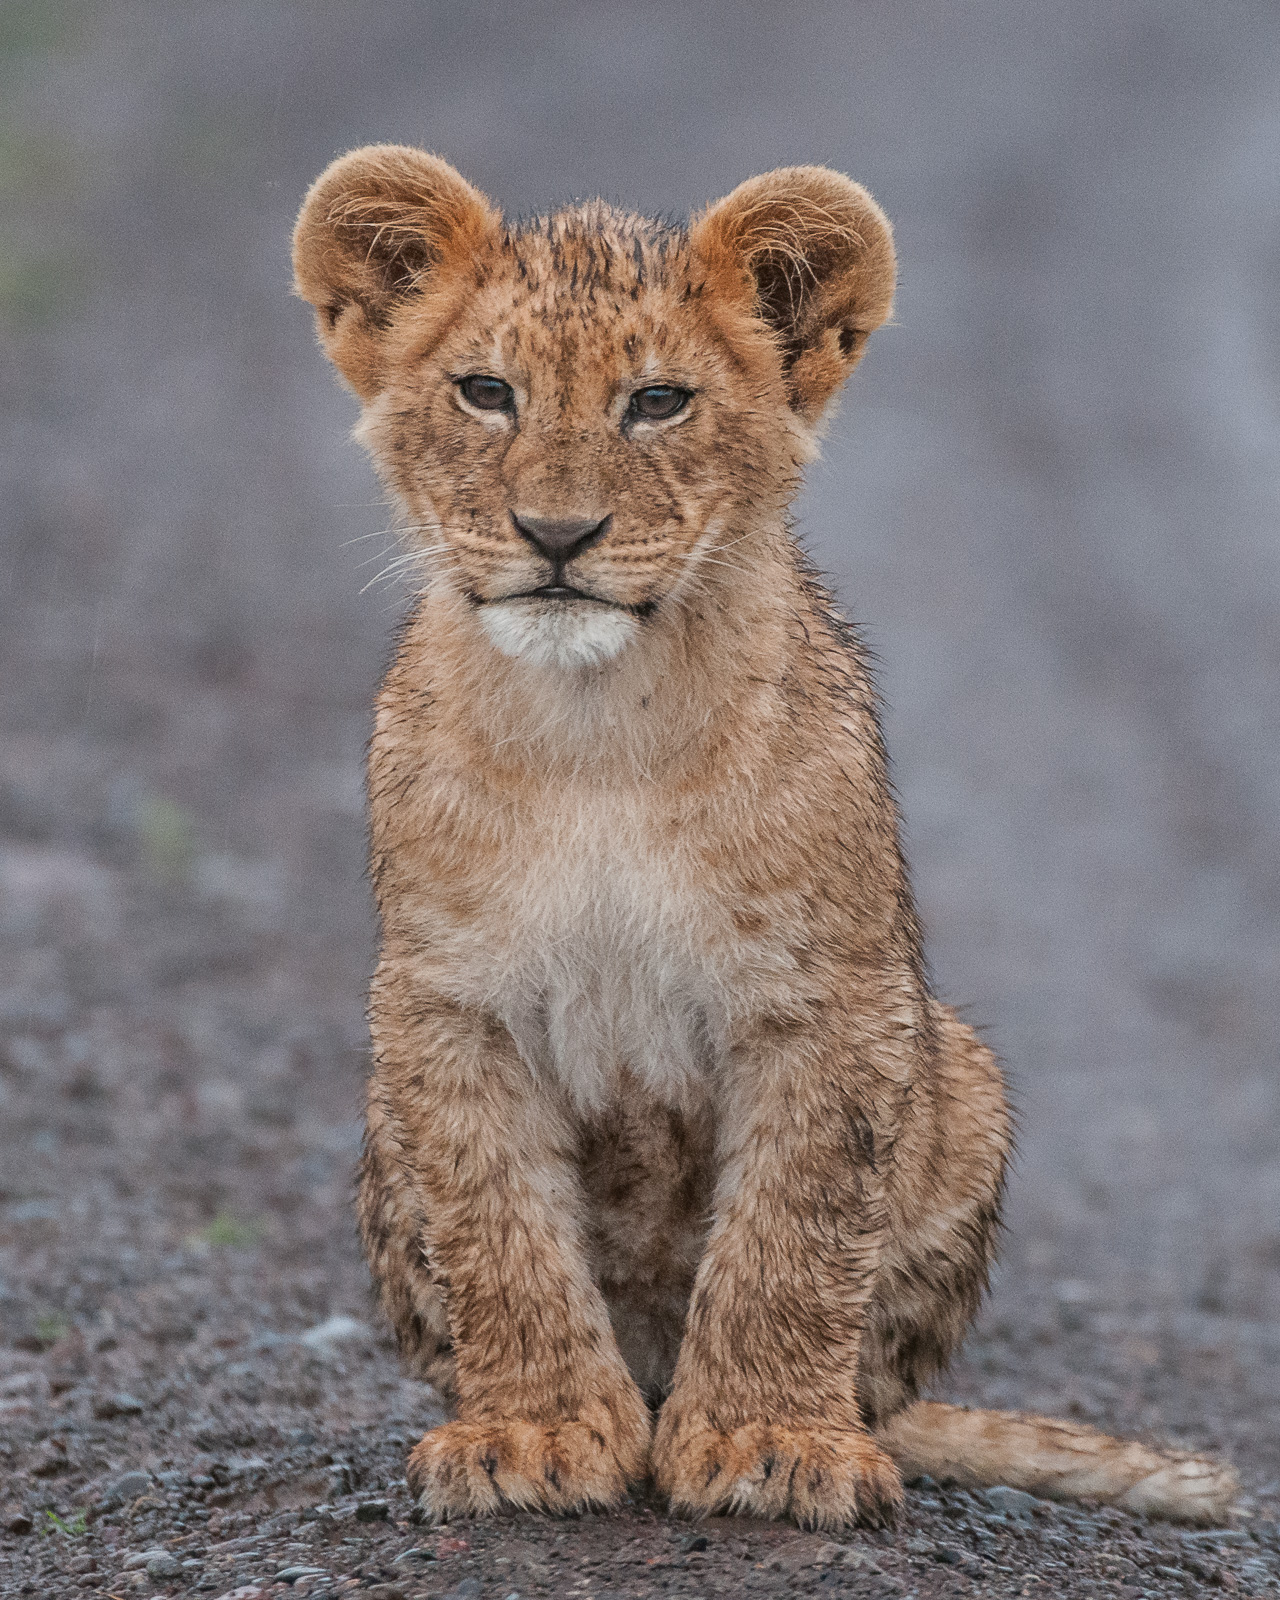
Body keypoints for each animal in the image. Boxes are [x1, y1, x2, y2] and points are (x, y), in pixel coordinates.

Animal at [291, 145, 1237, 1529]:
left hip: (958, 1069)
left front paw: (766, 1441)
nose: (556, 536)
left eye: (656, 402)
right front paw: (533, 1430)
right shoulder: (443, 1000)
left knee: (873, 1369)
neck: (596, 727)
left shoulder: (830, 997)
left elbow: (794, 1229)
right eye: (485, 392)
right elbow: (498, 1226)